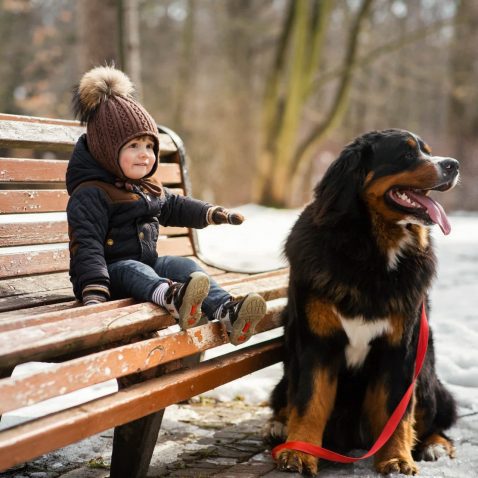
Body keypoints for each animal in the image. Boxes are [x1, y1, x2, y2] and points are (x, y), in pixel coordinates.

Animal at [268, 129, 460, 476]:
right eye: (407, 154)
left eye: (428, 151)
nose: (453, 165)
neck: (371, 252)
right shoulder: (317, 343)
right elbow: (309, 403)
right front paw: (299, 453)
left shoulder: (401, 347)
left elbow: (397, 411)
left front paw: (397, 458)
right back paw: (278, 426)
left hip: (426, 372)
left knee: (434, 419)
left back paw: (435, 445)